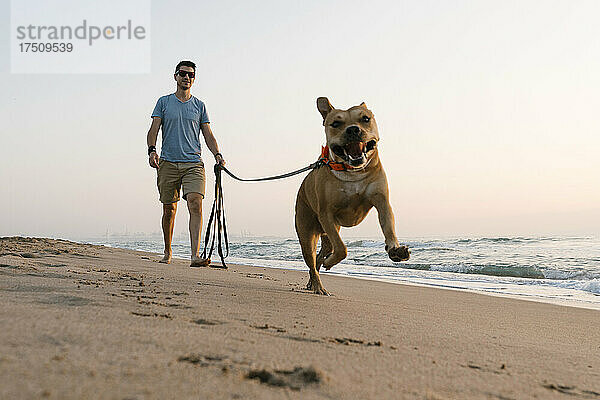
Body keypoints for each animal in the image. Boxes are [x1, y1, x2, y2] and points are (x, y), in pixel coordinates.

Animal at [294, 97, 410, 294]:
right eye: (335, 123)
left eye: (365, 119)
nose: (353, 129)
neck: (352, 173)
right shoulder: (326, 214)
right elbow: (342, 248)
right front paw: (331, 262)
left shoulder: (382, 201)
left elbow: (388, 227)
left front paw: (395, 249)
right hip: (308, 232)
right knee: (314, 257)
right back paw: (318, 286)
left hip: (327, 233)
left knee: (321, 255)